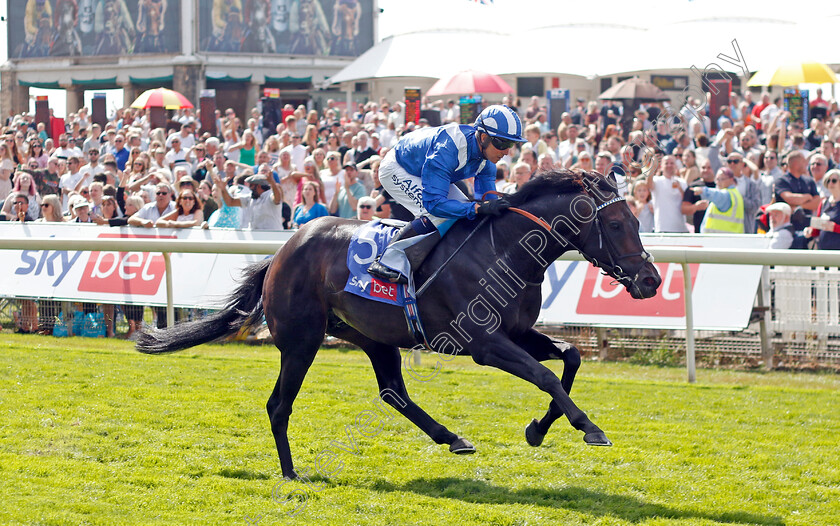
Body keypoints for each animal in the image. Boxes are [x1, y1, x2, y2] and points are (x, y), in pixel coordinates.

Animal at [138, 171, 664, 480]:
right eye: (616, 225)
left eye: (638, 221)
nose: (651, 280)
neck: (507, 249)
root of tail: (284, 250)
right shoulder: (485, 343)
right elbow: (546, 375)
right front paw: (587, 427)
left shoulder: (515, 334)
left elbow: (569, 358)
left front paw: (539, 428)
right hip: (302, 340)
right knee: (279, 404)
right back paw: (290, 473)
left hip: (373, 336)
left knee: (393, 391)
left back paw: (452, 438)